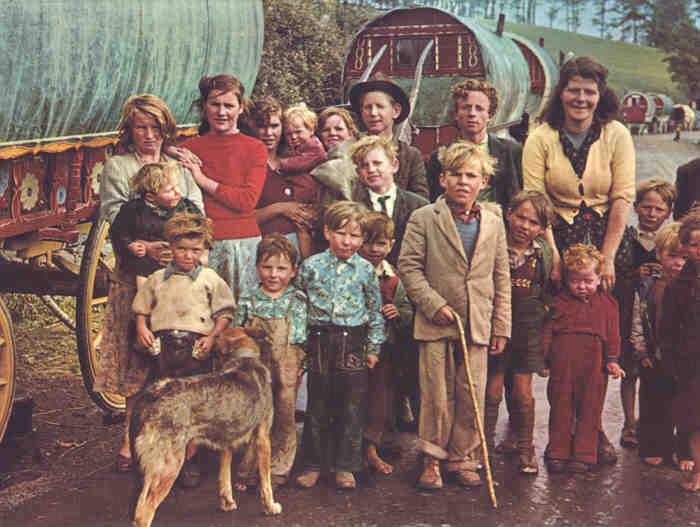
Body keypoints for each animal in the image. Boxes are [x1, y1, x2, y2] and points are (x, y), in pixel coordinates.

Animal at [130, 328, 280, 524]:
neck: (244, 357)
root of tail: (152, 394)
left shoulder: (226, 445)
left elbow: (224, 480)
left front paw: (227, 503)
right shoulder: (263, 439)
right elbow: (266, 484)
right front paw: (270, 507)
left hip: (152, 472)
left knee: (139, 506)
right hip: (169, 468)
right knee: (144, 513)